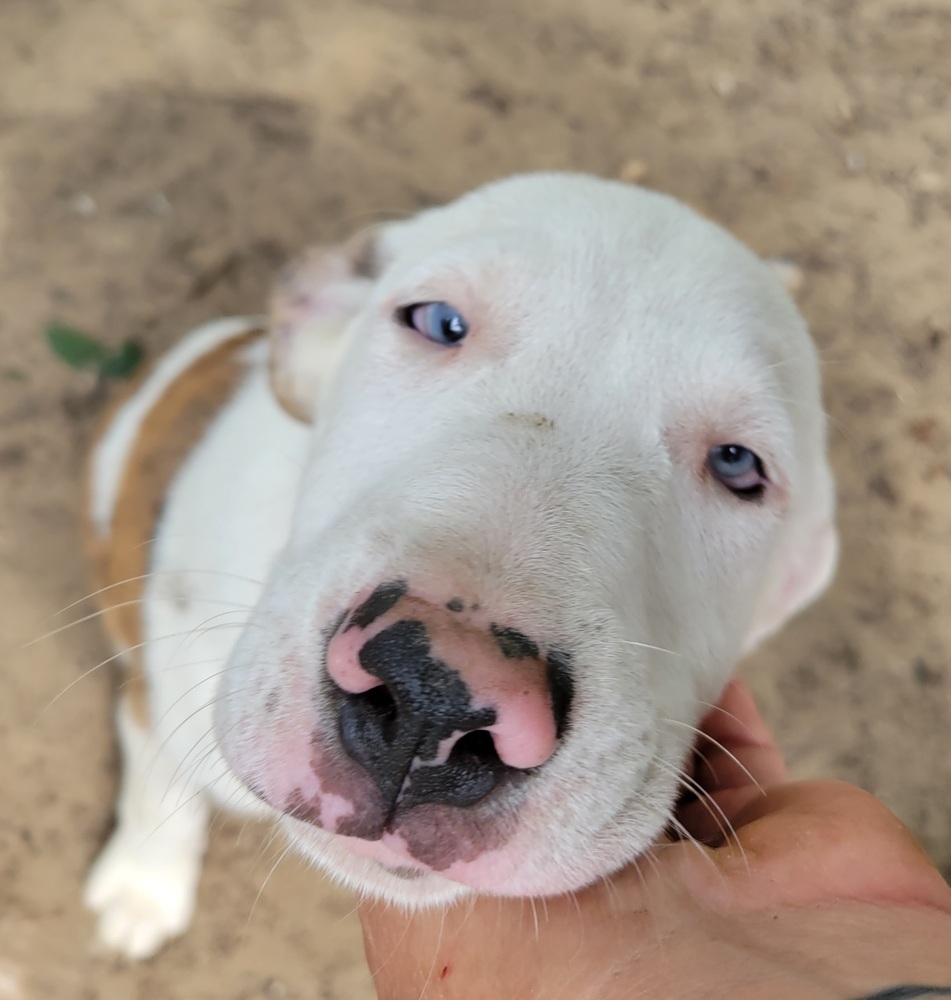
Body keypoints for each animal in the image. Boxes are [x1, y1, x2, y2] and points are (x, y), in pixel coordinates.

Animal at [83, 174, 840, 960]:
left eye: (738, 464)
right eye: (439, 322)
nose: (433, 699)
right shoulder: (159, 693)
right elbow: (157, 787)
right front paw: (144, 886)